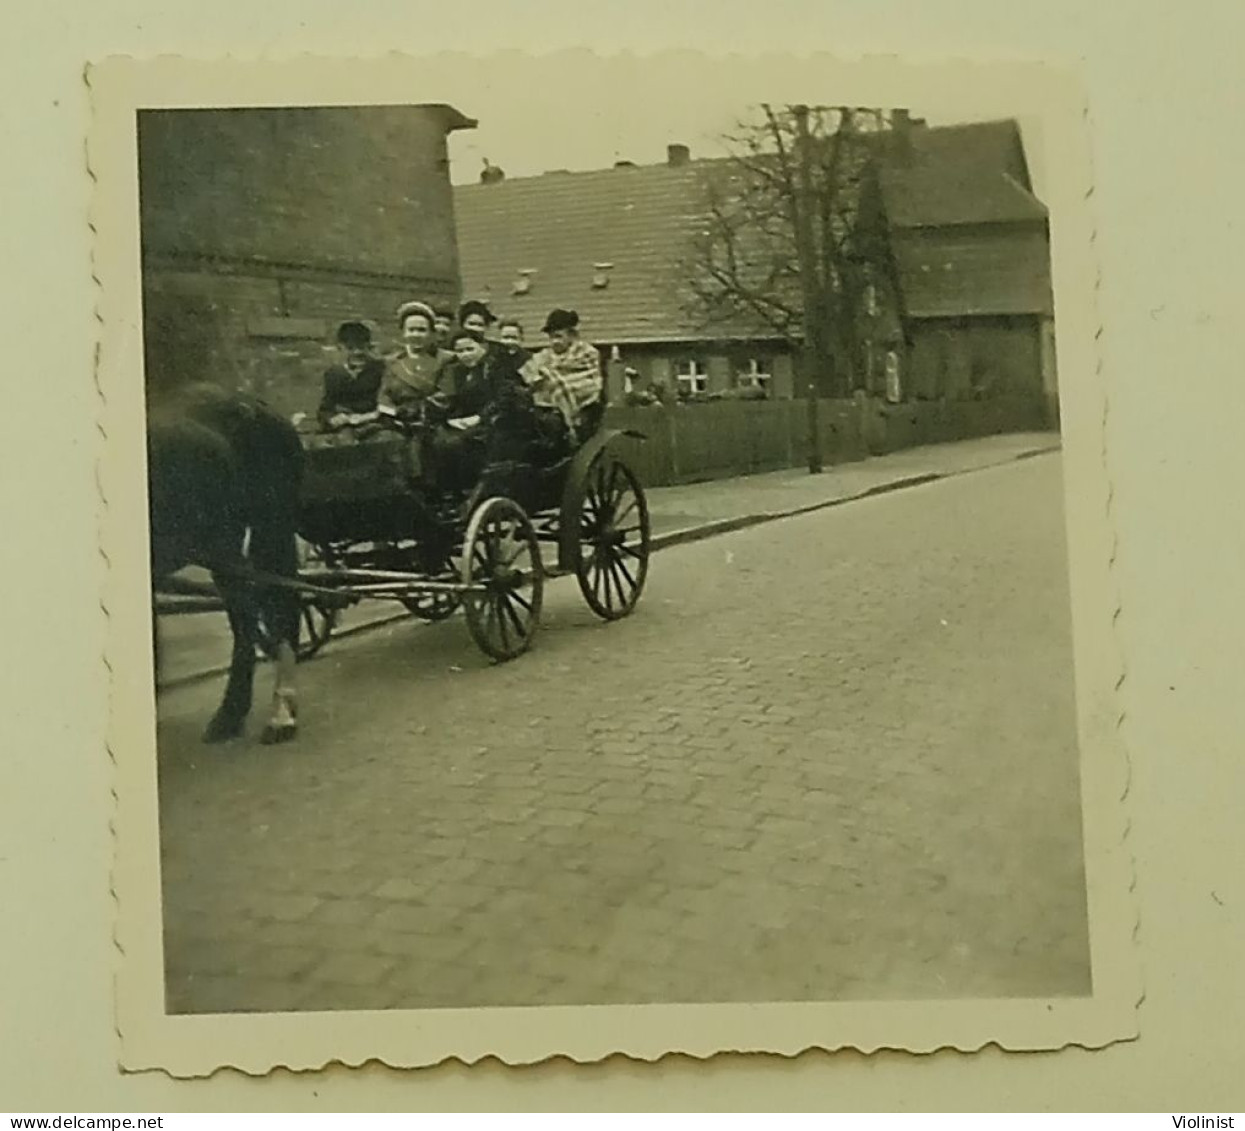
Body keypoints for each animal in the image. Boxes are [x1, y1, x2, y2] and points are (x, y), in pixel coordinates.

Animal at [148, 383, 306, 747]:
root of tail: (253, 402)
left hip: (270, 525)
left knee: (277, 604)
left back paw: (279, 712)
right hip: (225, 545)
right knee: (247, 614)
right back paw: (232, 714)